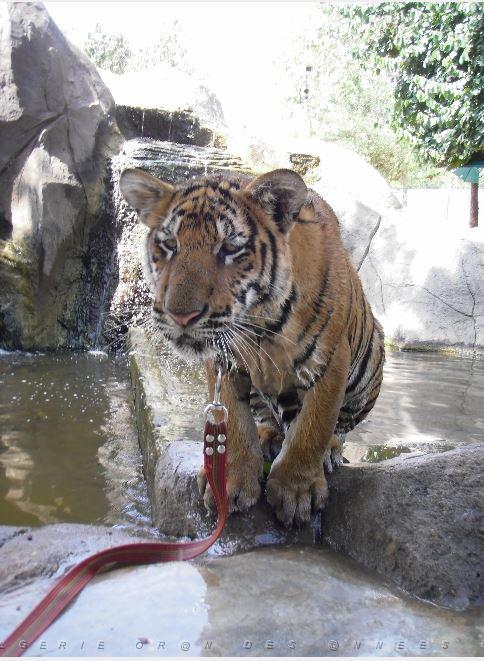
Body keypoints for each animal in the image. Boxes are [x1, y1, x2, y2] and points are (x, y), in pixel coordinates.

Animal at [120, 167, 384, 527]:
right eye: (170, 244)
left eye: (230, 247)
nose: (180, 315)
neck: (260, 326)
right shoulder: (221, 362)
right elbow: (234, 422)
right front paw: (229, 481)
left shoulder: (330, 363)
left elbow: (312, 428)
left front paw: (296, 491)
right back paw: (267, 436)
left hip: (368, 365)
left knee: (337, 427)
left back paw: (328, 451)